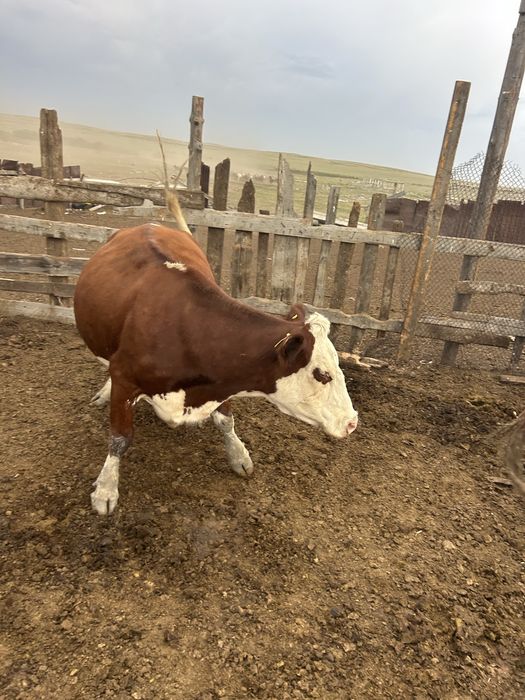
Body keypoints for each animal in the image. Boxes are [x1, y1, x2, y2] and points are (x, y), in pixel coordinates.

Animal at [74, 196, 358, 515]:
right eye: (322, 374)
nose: (352, 422)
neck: (186, 331)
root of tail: (149, 225)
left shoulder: (225, 378)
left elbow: (225, 422)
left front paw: (239, 456)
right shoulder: (125, 378)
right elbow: (120, 438)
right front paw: (105, 489)